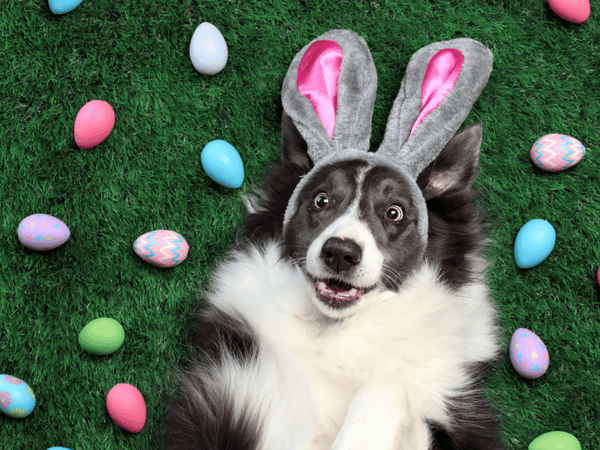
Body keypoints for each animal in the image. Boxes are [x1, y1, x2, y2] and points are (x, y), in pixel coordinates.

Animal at [162, 31, 504, 450]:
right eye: (321, 199)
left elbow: (387, 388)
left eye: (394, 212)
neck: (339, 331)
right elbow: (387, 390)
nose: (340, 253)